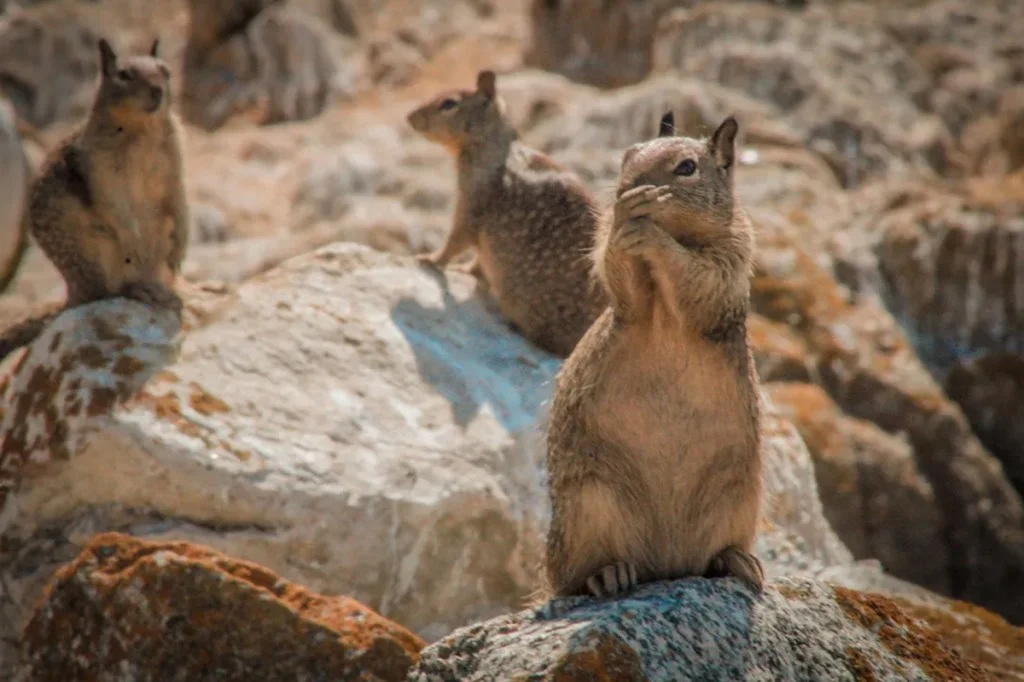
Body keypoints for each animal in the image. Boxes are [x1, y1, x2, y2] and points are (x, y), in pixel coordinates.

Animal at [0, 38, 188, 364]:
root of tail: (72, 293)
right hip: (98, 253)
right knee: (107, 292)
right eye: (124, 74)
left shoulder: (175, 163)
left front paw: (180, 251)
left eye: (165, 70)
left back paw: (165, 293)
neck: (142, 130)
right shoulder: (101, 172)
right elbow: (116, 207)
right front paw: (135, 244)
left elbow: (178, 201)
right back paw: (141, 291)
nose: (157, 90)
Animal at [406, 70, 608, 358]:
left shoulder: (470, 203)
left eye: (449, 103)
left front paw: (429, 259)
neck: (496, 147)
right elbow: (478, 260)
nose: (409, 117)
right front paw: (465, 270)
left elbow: (456, 240)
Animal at [543, 112, 765, 599]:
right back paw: (608, 574)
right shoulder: (630, 293)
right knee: (570, 579)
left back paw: (736, 561)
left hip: (740, 496)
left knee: (711, 555)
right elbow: (620, 274)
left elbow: (695, 274)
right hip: (590, 501)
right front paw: (627, 218)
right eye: (628, 154)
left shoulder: (729, 257)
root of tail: (667, 563)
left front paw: (652, 232)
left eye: (686, 167)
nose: (628, 188)